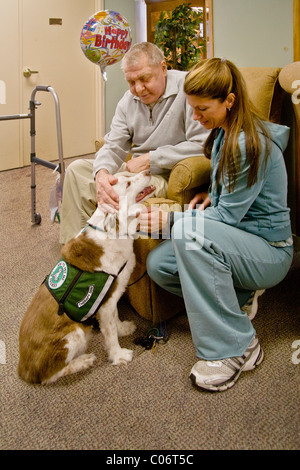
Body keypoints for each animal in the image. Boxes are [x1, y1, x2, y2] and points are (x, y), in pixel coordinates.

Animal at [18, 171, 155, 384]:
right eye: (127, 183)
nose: (148, 170)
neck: (113, 232)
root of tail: (23, 369)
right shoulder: (106, 303)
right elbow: (110, 334)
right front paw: (119, 355)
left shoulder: (110, 297)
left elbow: (115, 321)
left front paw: (123, 329)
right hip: (75, 333)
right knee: (50, 375)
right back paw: (84, 361)